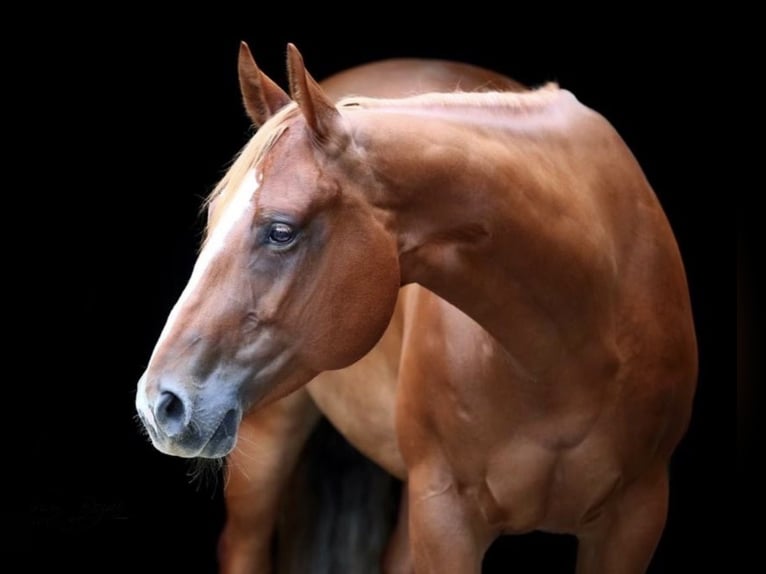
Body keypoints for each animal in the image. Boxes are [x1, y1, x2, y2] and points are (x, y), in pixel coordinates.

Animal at [136, 43, 698, 573]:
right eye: (212, 218)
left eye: (280, 230)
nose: (158, 404)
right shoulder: (445, 517)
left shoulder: (635, 521)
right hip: (268, 439)